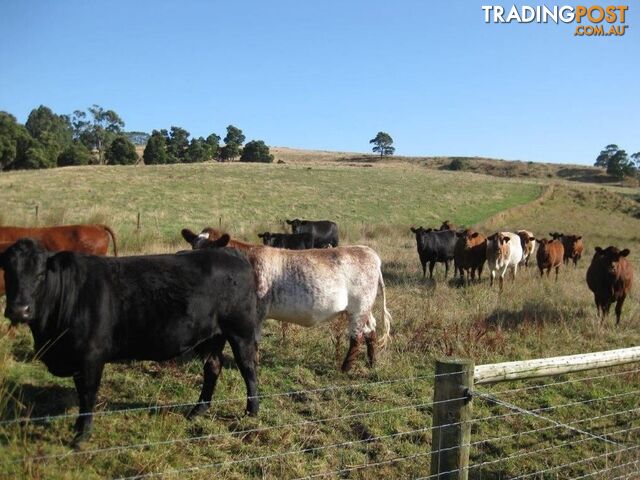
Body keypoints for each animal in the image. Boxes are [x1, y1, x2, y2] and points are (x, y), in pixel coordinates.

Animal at [0, 238, 260, 448]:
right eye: (8, 272)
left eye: (40, 274)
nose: (19, 310)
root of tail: (231, 253)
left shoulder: (90, 357)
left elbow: (87, 395)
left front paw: (81, 436)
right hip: (210, 337)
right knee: (213, 367)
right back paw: (198, 410)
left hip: (241, 332)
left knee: (248, 369)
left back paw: (252, 411)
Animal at [179, 228, 390, 372]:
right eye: (193, 248)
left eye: (211, 251)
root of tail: (369, 252)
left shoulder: (255, 312)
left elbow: (252, 341)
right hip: (363, 309)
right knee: (371, 330)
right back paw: (372, 362)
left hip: (359, 307)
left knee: (357, 337)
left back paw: (345, 368)